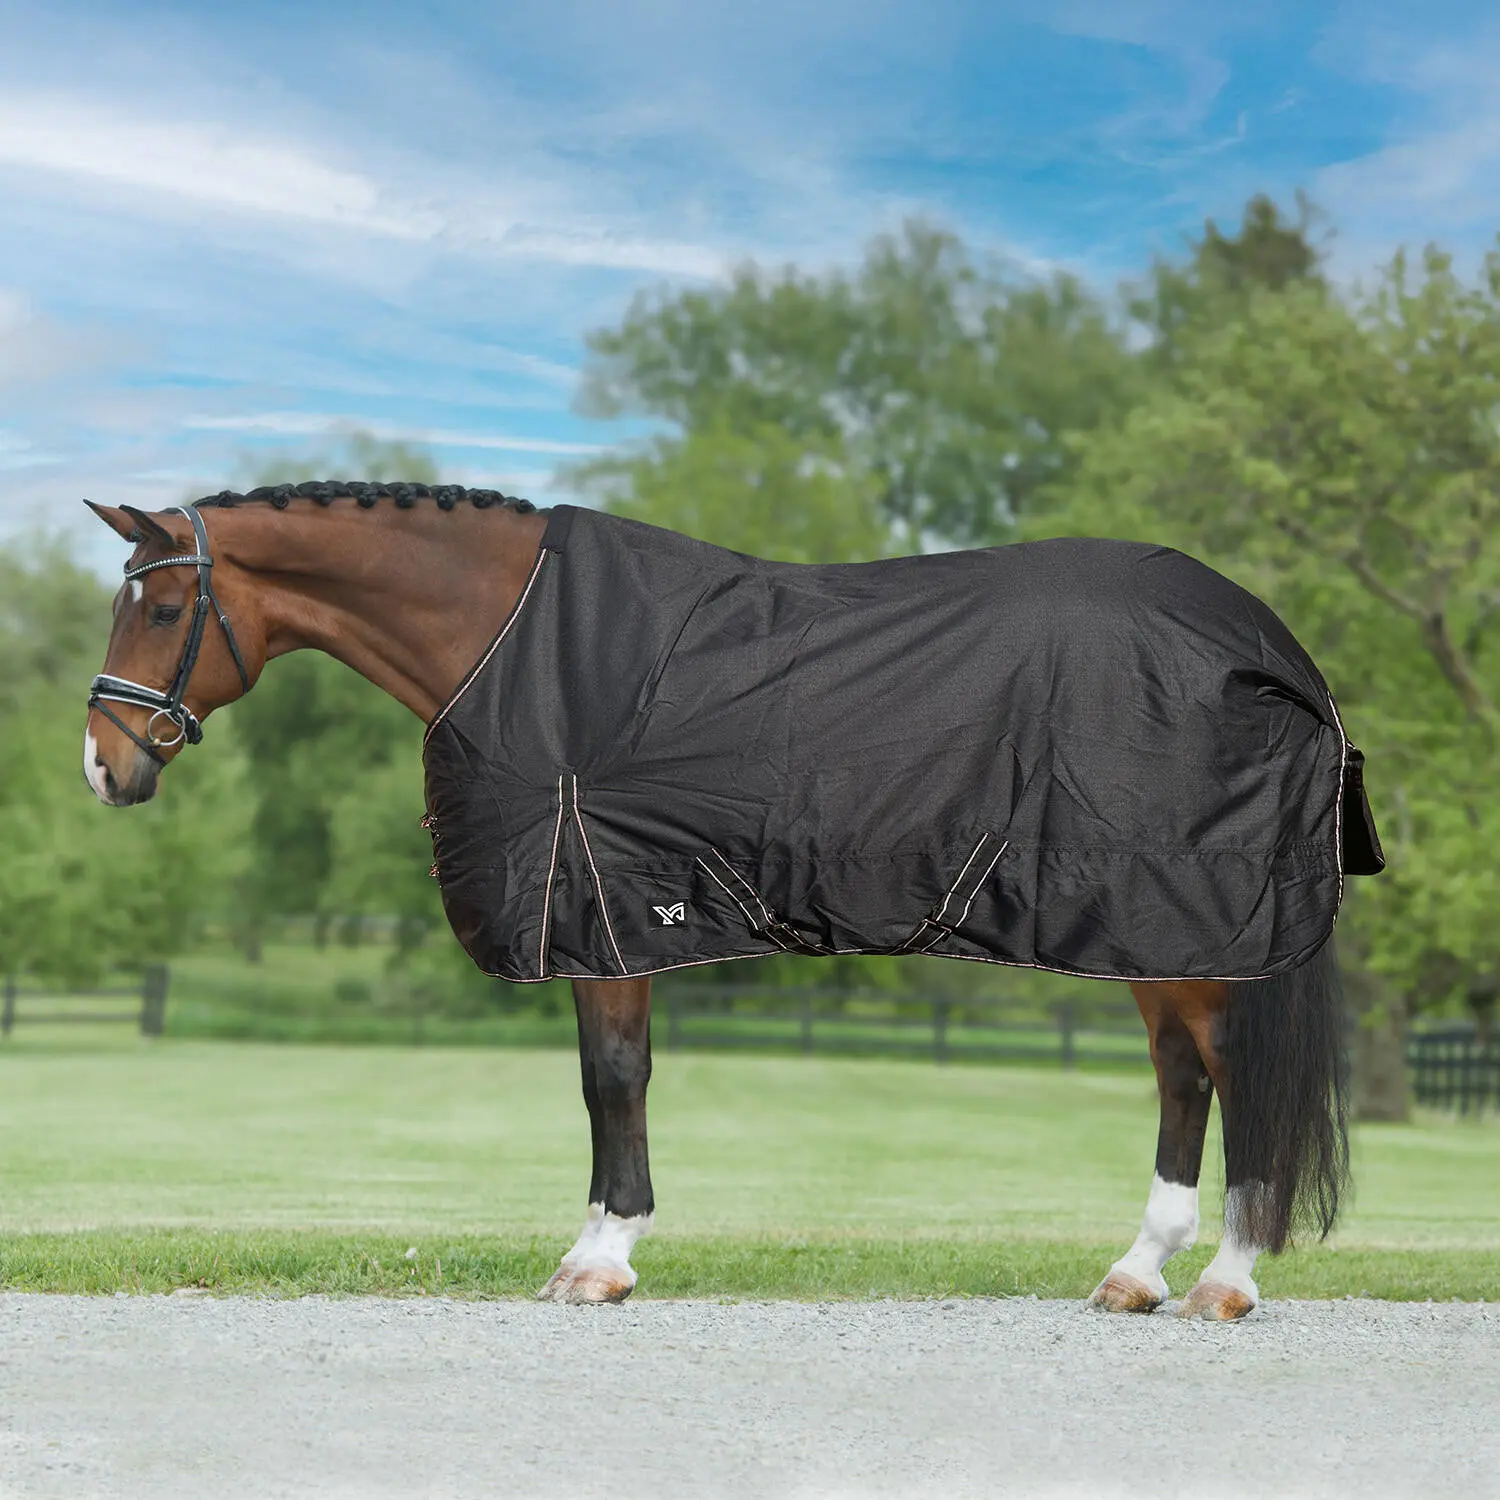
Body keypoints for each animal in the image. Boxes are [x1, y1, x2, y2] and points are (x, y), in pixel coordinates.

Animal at [82, 483, 1382, 1319]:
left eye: (162, 609)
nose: (104, 766)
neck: (517, 641)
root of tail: (1270, 642)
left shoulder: (601, 907)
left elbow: (614, 1082)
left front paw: (598, 1259)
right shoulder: (609, 918)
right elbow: (609, 1082)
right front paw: (602, 1247)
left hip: (1187, 922)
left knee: (1225, 1077)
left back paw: (1222, 1282)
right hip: (1153, 931)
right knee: (1182, 1079)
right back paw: (1134, 1275)